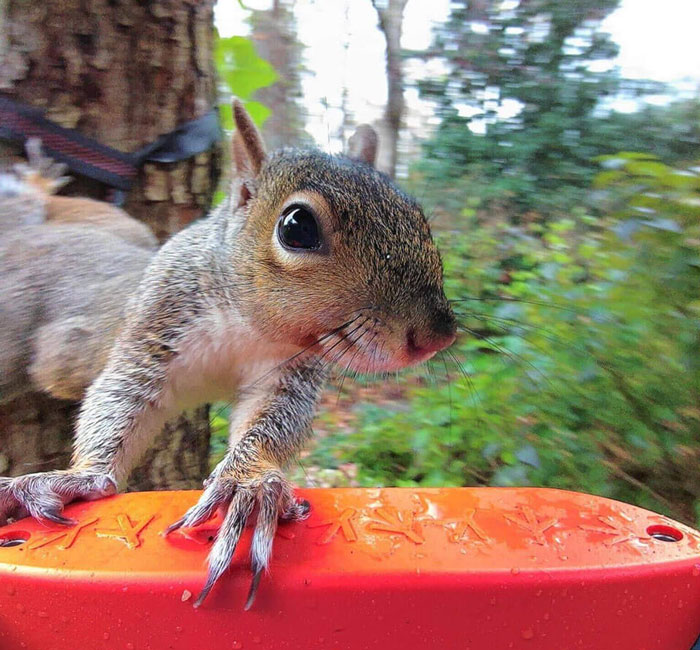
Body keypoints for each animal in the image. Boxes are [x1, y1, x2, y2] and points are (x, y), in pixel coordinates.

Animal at [0, 101, 457, 609]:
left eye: (416, 214)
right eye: (297, 227)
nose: (439, 334)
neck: (248, 328)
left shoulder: (288, 373)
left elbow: (274, 421)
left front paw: (248, 486)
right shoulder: (154, 331)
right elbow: (121, 397)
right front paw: (77, 477)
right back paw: (34, 181)